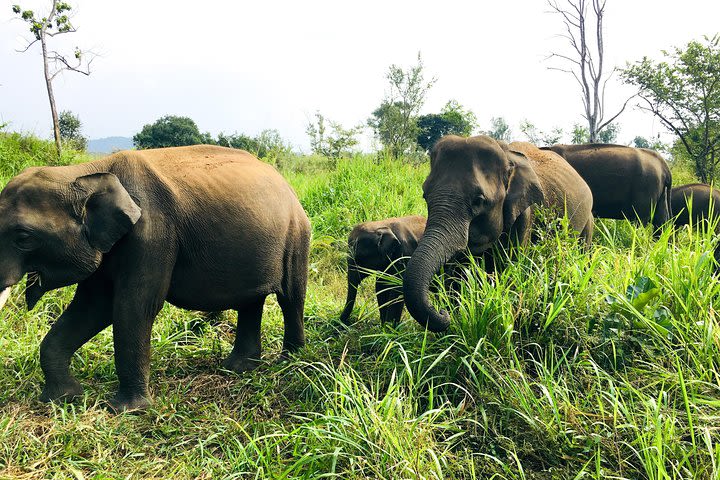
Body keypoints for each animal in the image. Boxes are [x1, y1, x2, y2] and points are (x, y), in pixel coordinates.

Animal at [0, 144, 308, 410]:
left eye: (24, 238)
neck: (85, 171)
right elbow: (91, 307)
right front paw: (64, 398)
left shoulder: (152, 233)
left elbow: (134, 307)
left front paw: (127, 410)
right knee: (251, 301)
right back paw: (239, 368)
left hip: (296, 234)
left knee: (291, 297)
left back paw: (291, 362)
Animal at [402, 134, 592, 330]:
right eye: (425, 195)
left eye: (478, 201)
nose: (441, 311)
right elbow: (456, 276)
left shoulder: (524, 217)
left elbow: (511, 272)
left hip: (588, 221)